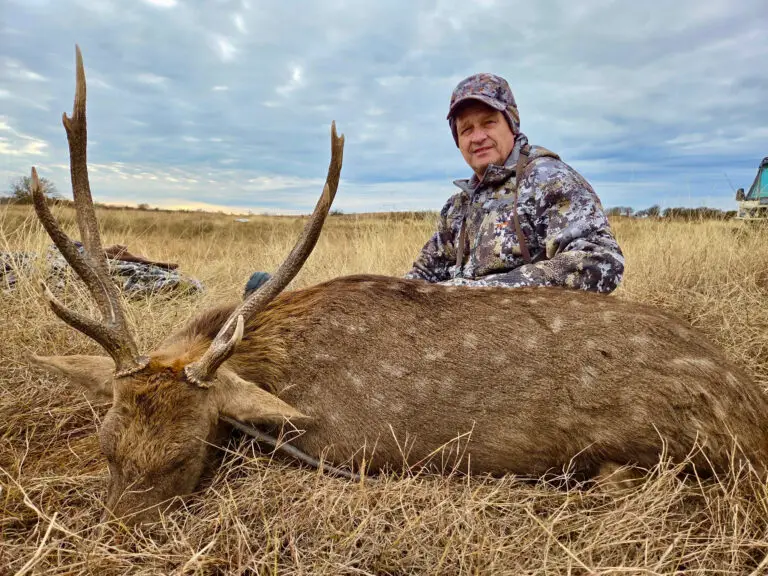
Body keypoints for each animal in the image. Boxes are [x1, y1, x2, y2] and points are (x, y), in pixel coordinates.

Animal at [29, 46, 768, 526]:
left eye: (185, 456)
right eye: (107, 448)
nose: (122, 532)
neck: (275, 360)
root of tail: (753, 405)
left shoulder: (342, 448)